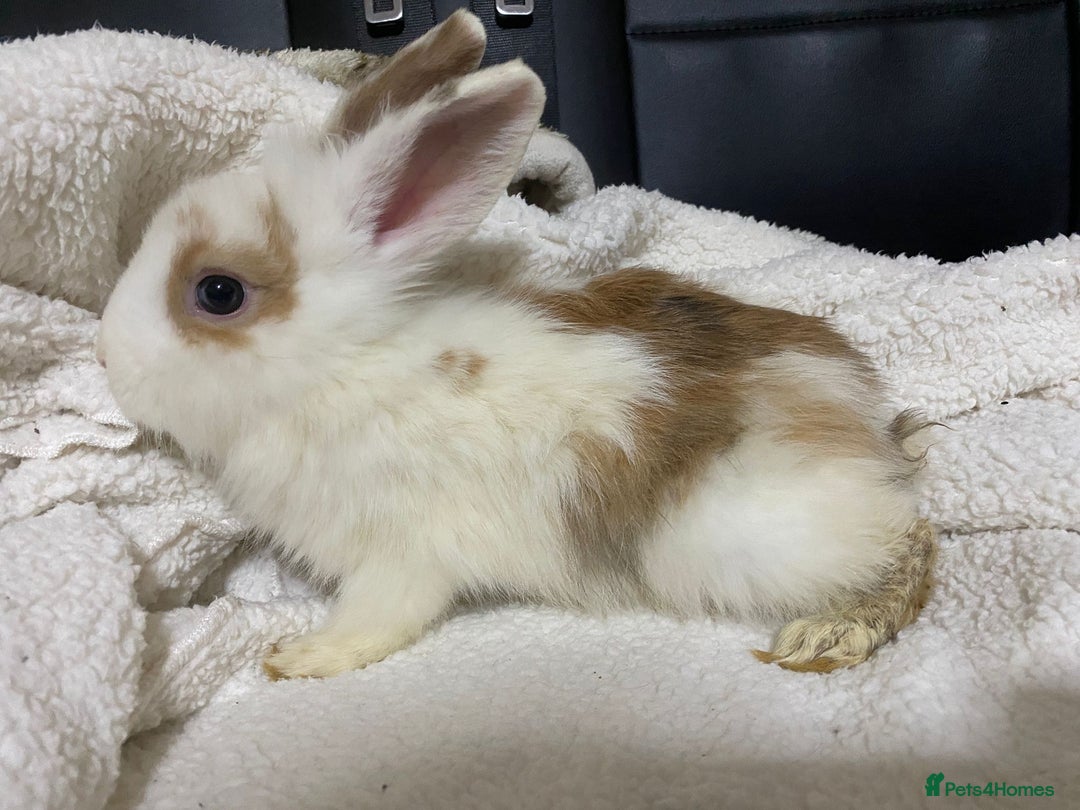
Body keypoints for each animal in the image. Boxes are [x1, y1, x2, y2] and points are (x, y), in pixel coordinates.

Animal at [97, 11, 937, 679]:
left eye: (217, 293)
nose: (107, 358)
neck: (342, 361)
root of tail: (855, 415)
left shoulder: (400, 550)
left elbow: (379, 615)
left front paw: (301, 658)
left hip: (752, 538)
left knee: (908, 542)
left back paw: (824, 635)